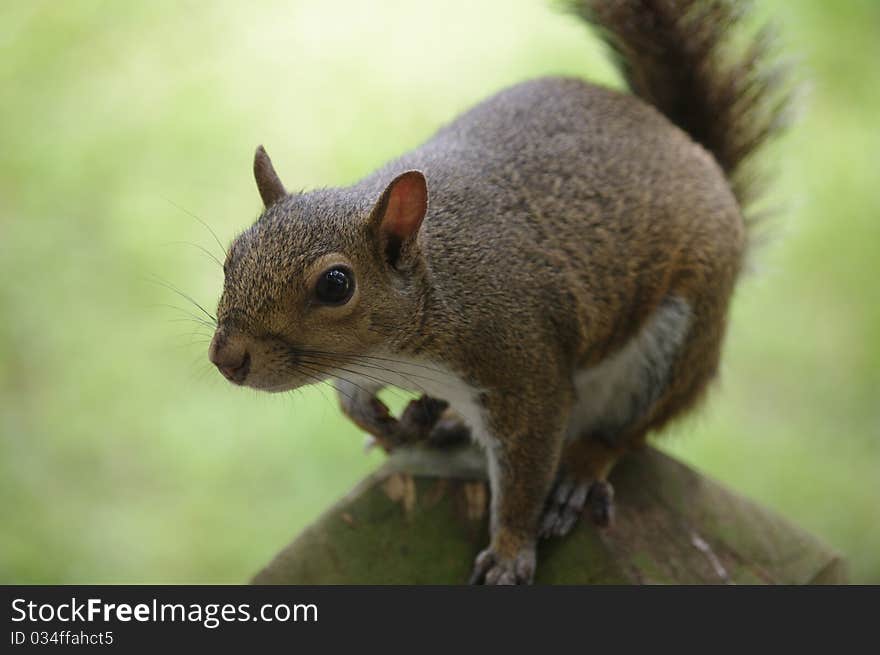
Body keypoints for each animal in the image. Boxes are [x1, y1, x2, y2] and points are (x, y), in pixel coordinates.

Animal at [206, 0, 792, 584]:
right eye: (234, 254)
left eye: (336, 284)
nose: (226, 358)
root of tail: (694, 150)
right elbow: (354, 396)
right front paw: (373, 417)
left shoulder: (524, 368)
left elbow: (525, 474)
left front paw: (509, 552)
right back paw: (436, 424)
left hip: (676, 344)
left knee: (629, 430)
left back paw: (579, 469)